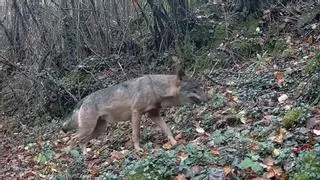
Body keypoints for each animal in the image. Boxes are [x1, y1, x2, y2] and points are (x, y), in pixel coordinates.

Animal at [62, 69, 208, 154]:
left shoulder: (153, 115)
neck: (155, 88)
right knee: (73, 139)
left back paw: (84, 156)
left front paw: (174, 142)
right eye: (195, 88)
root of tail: (83, 100)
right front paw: (138, 150)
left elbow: (167, 129)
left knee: (81, 141)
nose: (209, 98)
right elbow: (136, 135)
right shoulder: (136, 113)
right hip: (89, 129)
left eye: (200, 87)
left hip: (98, 130)